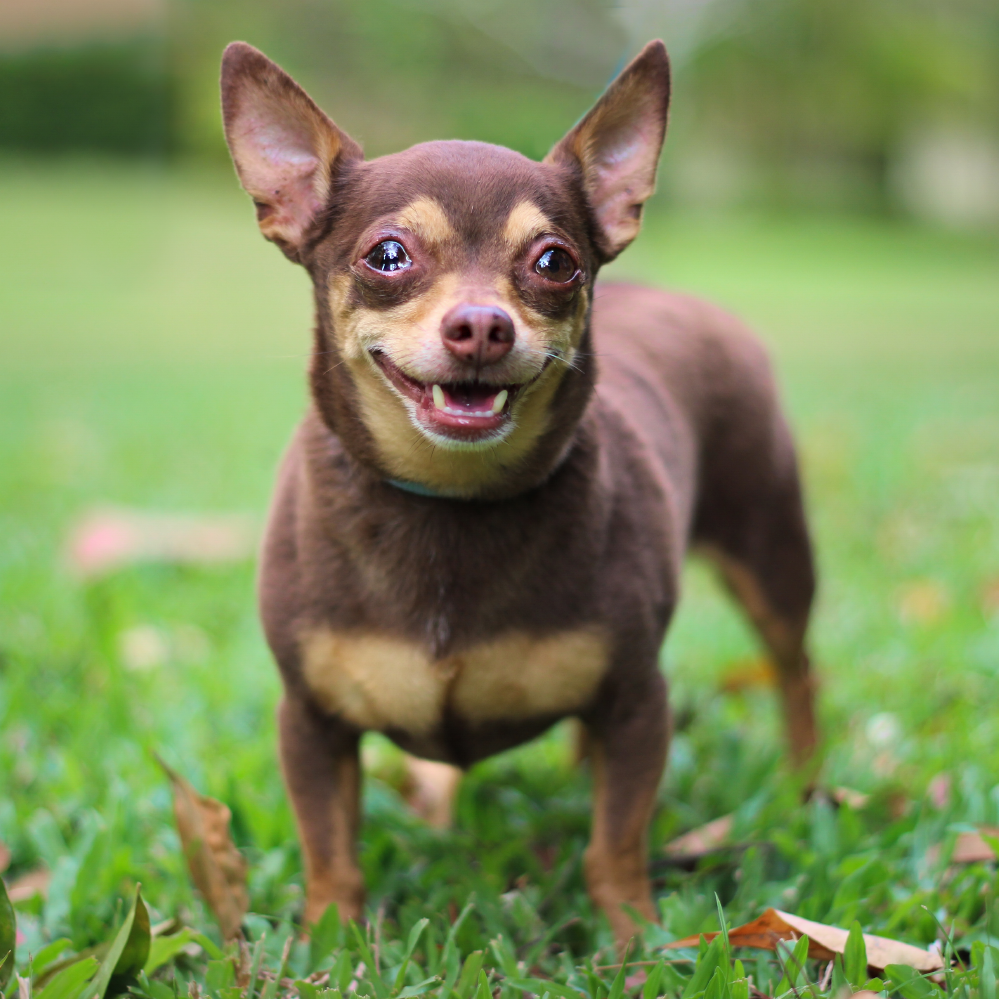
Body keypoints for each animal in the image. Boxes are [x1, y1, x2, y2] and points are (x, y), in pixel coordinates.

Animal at [220, 38, 817, 944]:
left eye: (554, 263)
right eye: (387, 256)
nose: (480, 326)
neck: (449, 501)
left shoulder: (636, 701)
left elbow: (614, 845)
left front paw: (634, 942)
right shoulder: (312, 720)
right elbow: (332, 853)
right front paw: (332, 942)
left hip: (770, 554)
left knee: (795, 667)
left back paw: (806, 783)